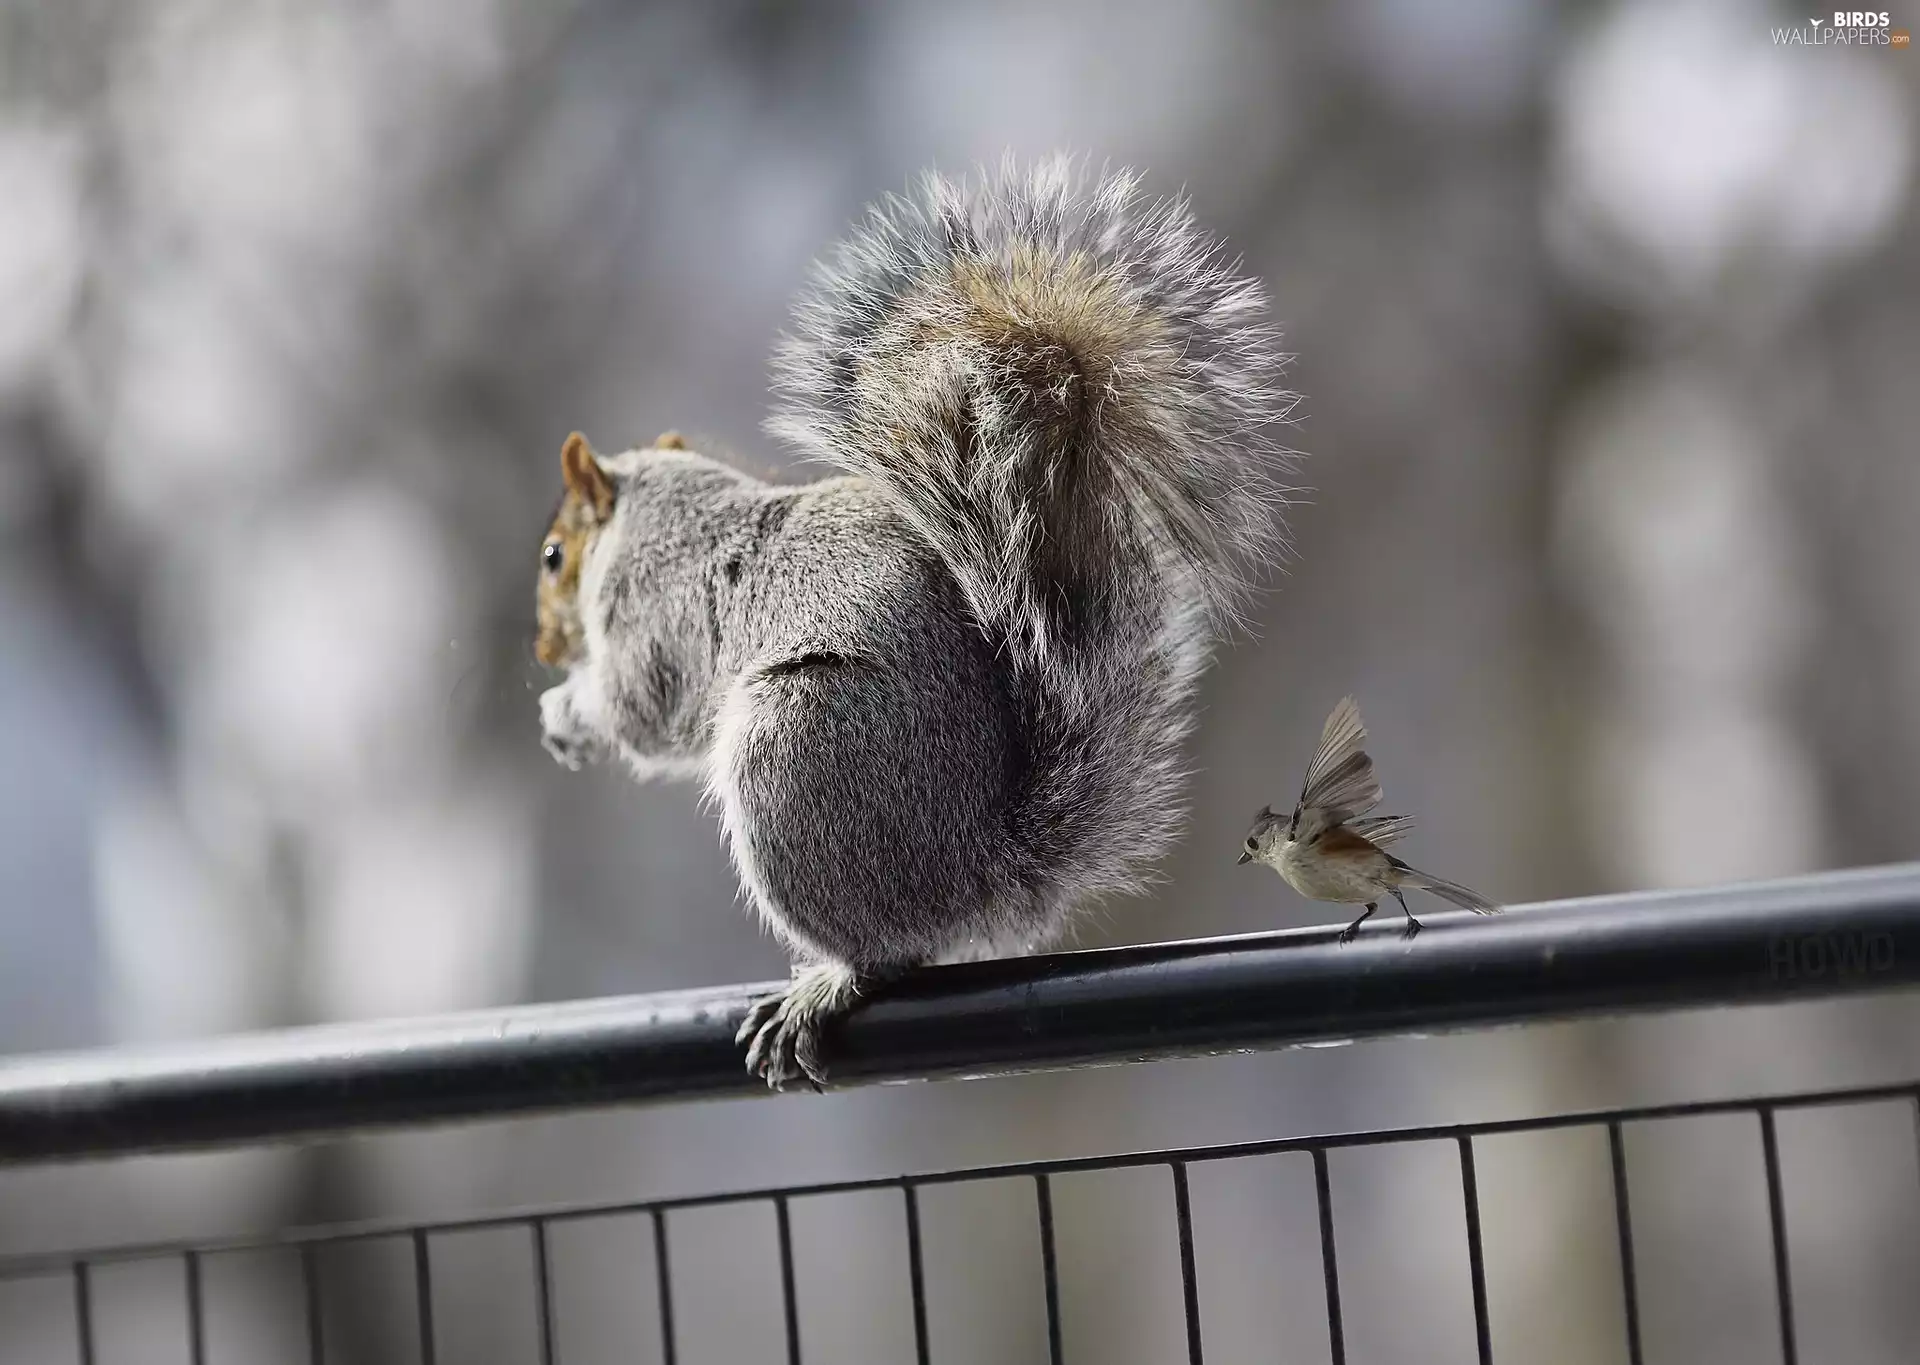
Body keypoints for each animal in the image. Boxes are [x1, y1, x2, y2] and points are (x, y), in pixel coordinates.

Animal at [534, 156, 1296, 1089]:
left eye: (553, 558)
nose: (541, 644)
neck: (665, 511)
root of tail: (980, 871)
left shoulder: (653, 612)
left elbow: (642, 712)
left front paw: (568, 711)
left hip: (791, 751)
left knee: (890, 953)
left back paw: (822, 989)